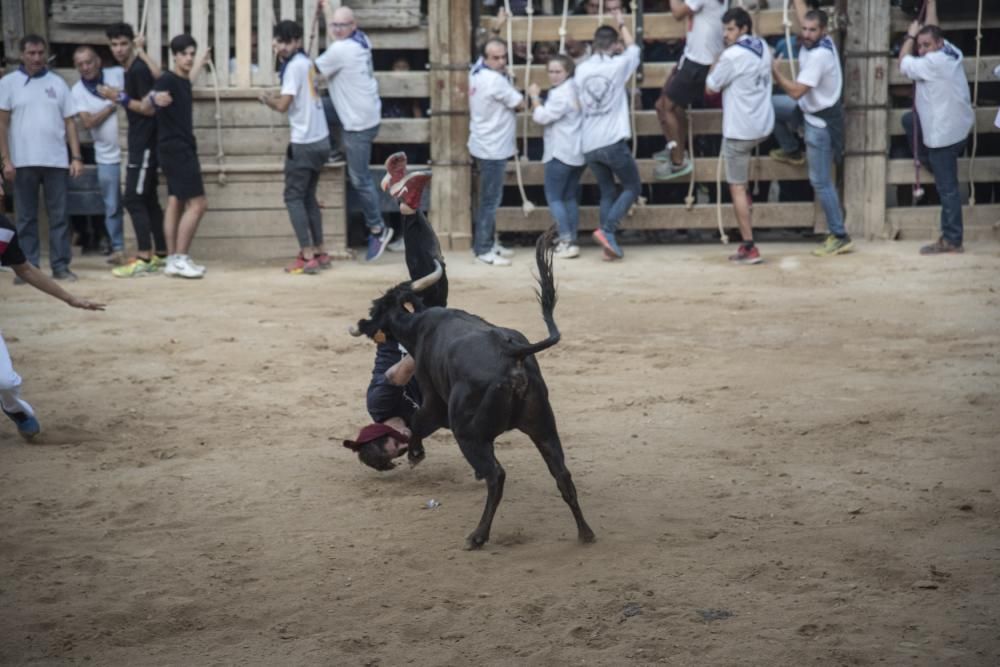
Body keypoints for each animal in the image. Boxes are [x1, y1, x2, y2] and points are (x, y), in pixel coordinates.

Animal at [350, 227, 592, 552]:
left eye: (375, 308)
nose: (361, 323)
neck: (419, 326)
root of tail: (511, 353)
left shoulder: (433, 400)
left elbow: (418, 423)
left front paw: (415, 454)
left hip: (468, 432)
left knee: (497, 476)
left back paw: (477, 536)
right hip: (543, 426)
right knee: (562, 474)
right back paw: (585, 533)